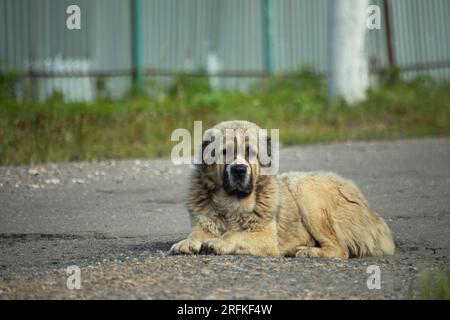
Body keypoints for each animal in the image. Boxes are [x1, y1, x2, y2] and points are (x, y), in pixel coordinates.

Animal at [169, 120, 394, 260]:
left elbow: (235, 234)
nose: (239, 170)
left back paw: (308, 252)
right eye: (225, 152)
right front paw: (187, 243)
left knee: (340, 250)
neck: (232, 202)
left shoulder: (265, 237)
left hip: (304, 188)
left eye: (251, 152)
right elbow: (198, 234)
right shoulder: (204, 225)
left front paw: (220, 242)